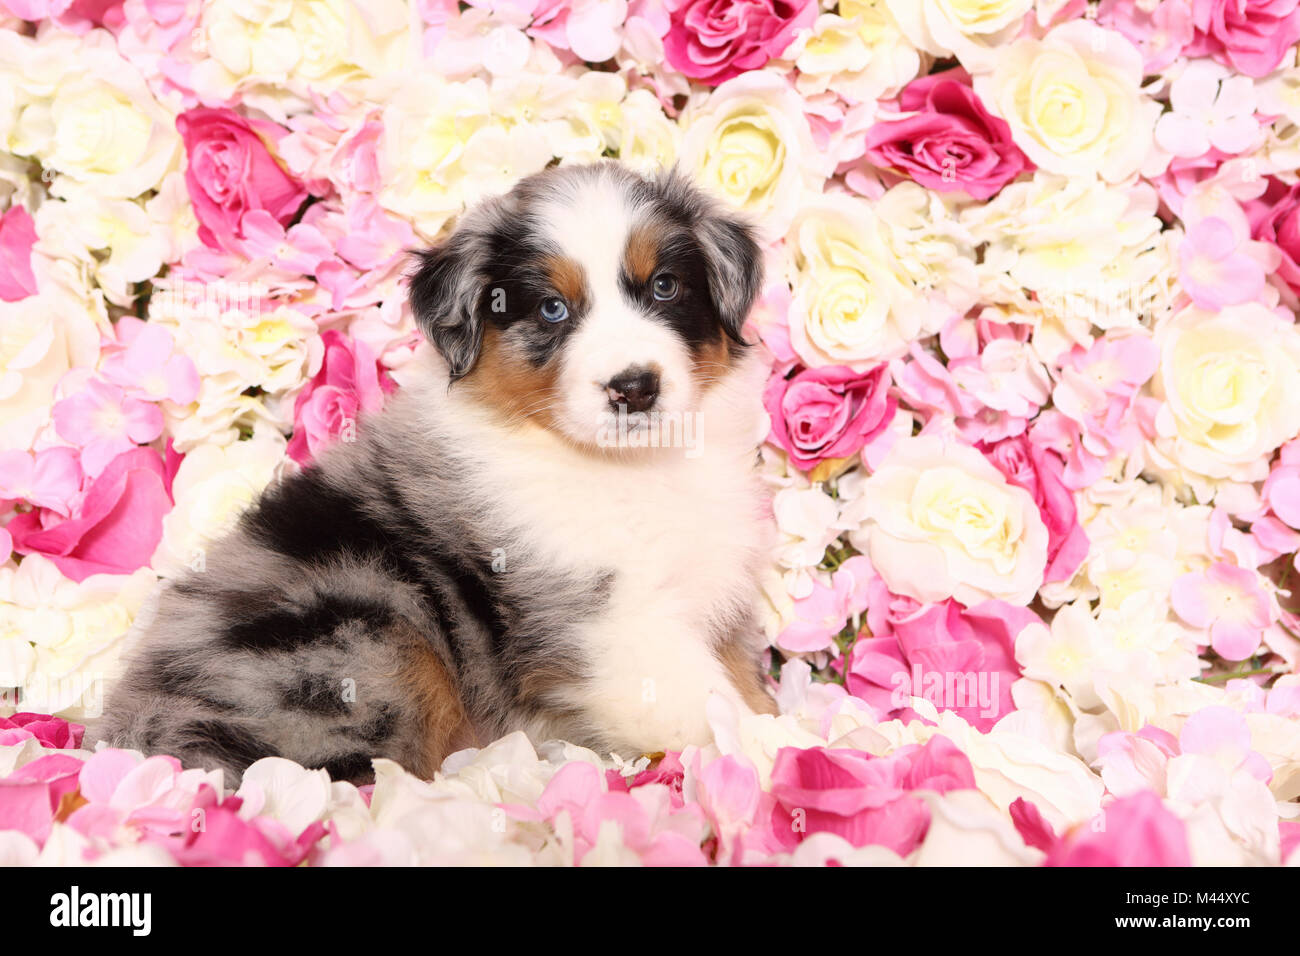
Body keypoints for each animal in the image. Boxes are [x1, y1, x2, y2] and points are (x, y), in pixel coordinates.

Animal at [98, 160, 780, 780]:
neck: (634, 466)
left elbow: (744, 686)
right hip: (364, 638)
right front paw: (779, 752)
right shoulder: (609, 626)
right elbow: (714, 707)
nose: (634, 388)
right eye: (552, 309)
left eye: (664, 286)